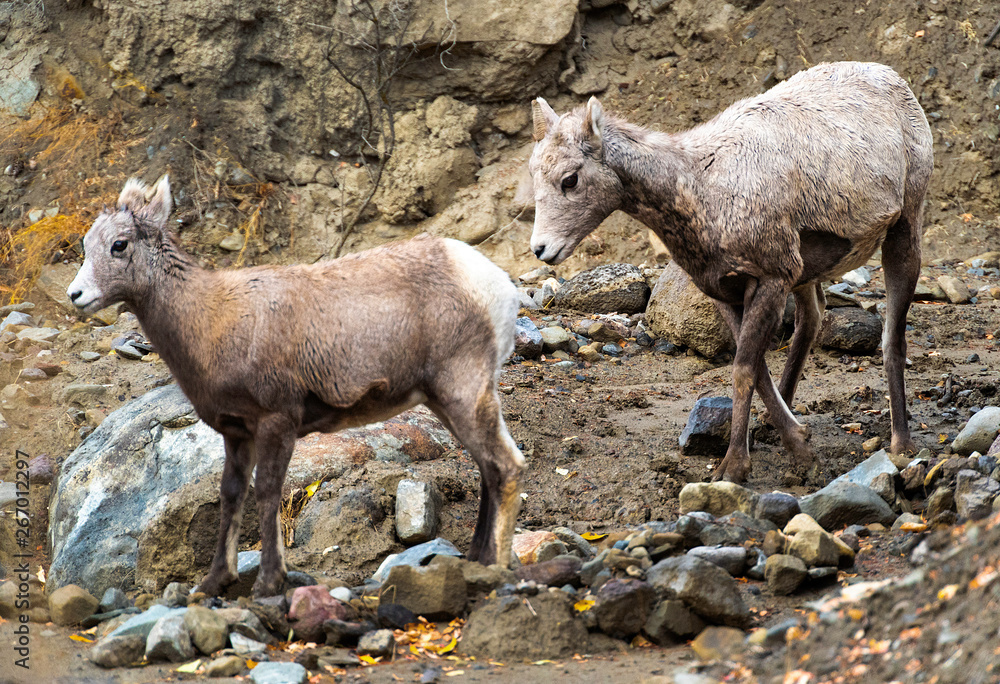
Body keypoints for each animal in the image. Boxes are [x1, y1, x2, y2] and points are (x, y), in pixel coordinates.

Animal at [67, 175, 526, 597]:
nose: (76, 295)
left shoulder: (277, 421)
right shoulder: (237, 434)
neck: (211, 320)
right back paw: (477, 559)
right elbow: (232, 495)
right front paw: (214, 583)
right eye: (86, 245)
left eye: (120, 245)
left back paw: (494, 568)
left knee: (506, 465)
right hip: (445, 401)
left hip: (462, 389)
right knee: (488, 467)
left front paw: (268, 583)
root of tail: (492, 282)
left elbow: (268, 492)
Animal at [528, 61, 933, 482]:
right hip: (806, 274)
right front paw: (798, 444)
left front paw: (733, 467)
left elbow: (743, 370)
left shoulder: (770, 280)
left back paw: (902, 445)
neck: (700, 192)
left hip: (904, 228)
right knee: (812, 319)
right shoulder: (726, 290)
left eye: (570, 179)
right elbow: (757, 370)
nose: (541, 249)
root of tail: (894, 79)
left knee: (892, 339)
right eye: (533, 173)